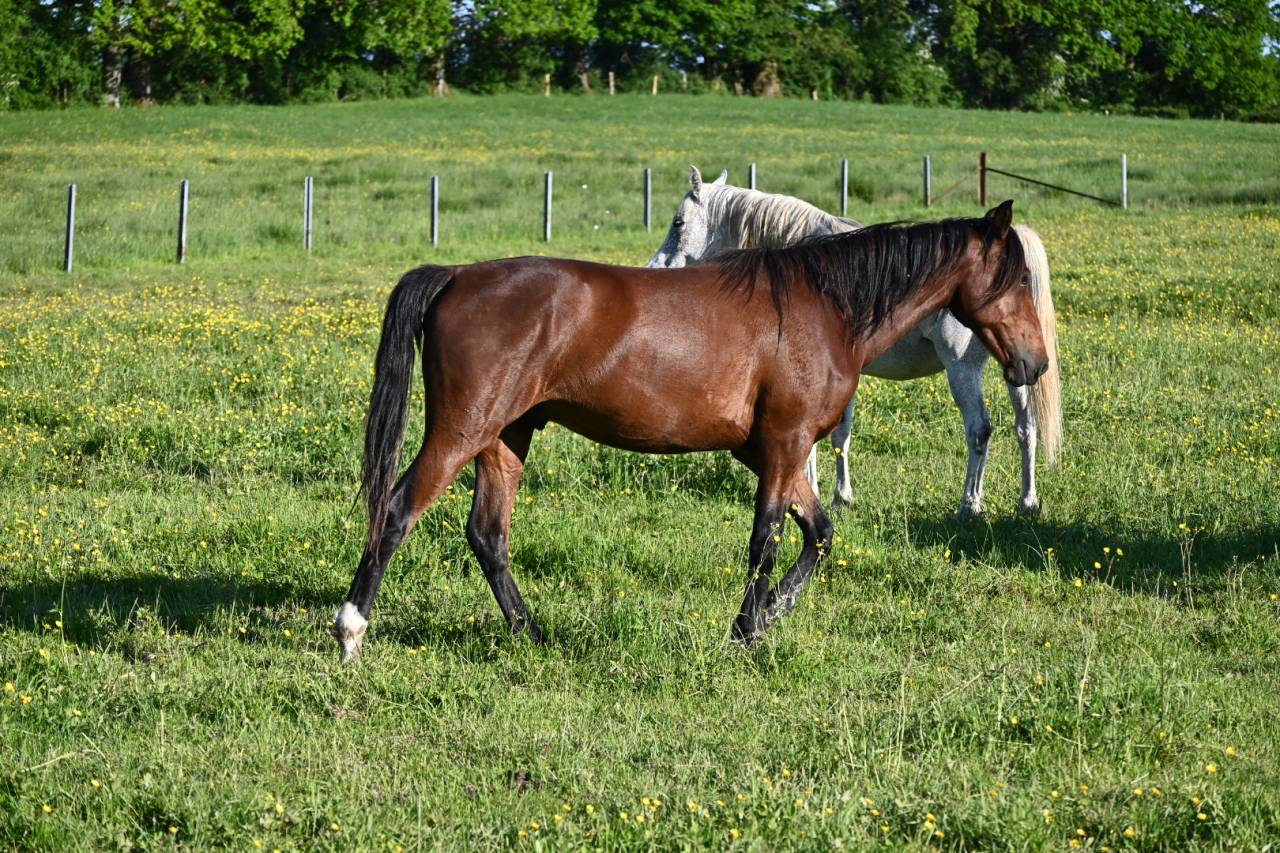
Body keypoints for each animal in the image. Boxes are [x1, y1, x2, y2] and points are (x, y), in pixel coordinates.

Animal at [331, 201, 1049, 661]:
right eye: (1016, 277)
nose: (1035, 363)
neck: (824, 308)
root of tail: (457, 275)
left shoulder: (779, 453)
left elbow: (818, 535)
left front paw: (768, 615)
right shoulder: (785, 445)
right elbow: (766, 543)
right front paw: (745, 630)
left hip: (506, 437)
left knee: (488, 535)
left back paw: (531, 635)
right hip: (462, 430)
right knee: (395, 511)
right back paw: (351, 629)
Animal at [648, 167, 1061, 518]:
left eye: (678, 222)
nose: (654, 267)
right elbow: (841, 435)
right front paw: (840, 496)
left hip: (963, 369)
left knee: (979, 430)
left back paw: (970, 504)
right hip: (1016, 370)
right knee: (1026, 428)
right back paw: (1028, 501)